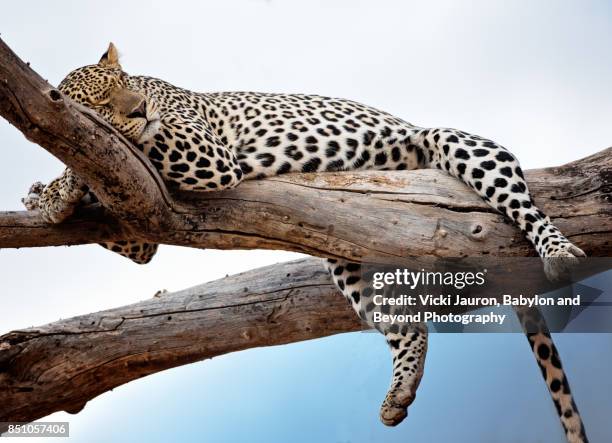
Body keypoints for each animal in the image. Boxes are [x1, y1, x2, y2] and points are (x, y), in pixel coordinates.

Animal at [28, 42, 588, 443]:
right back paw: (399, 391)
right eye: (100, 101)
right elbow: (123, 218)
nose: (140, 109)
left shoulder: (204, 152)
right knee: (407, 324)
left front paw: (56, 185)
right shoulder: (137, 204)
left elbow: (124, 146)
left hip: (454, 143)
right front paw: (49, 195)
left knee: (522, 202)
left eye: (125, 85)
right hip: (348, 256)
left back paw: (558, 252)